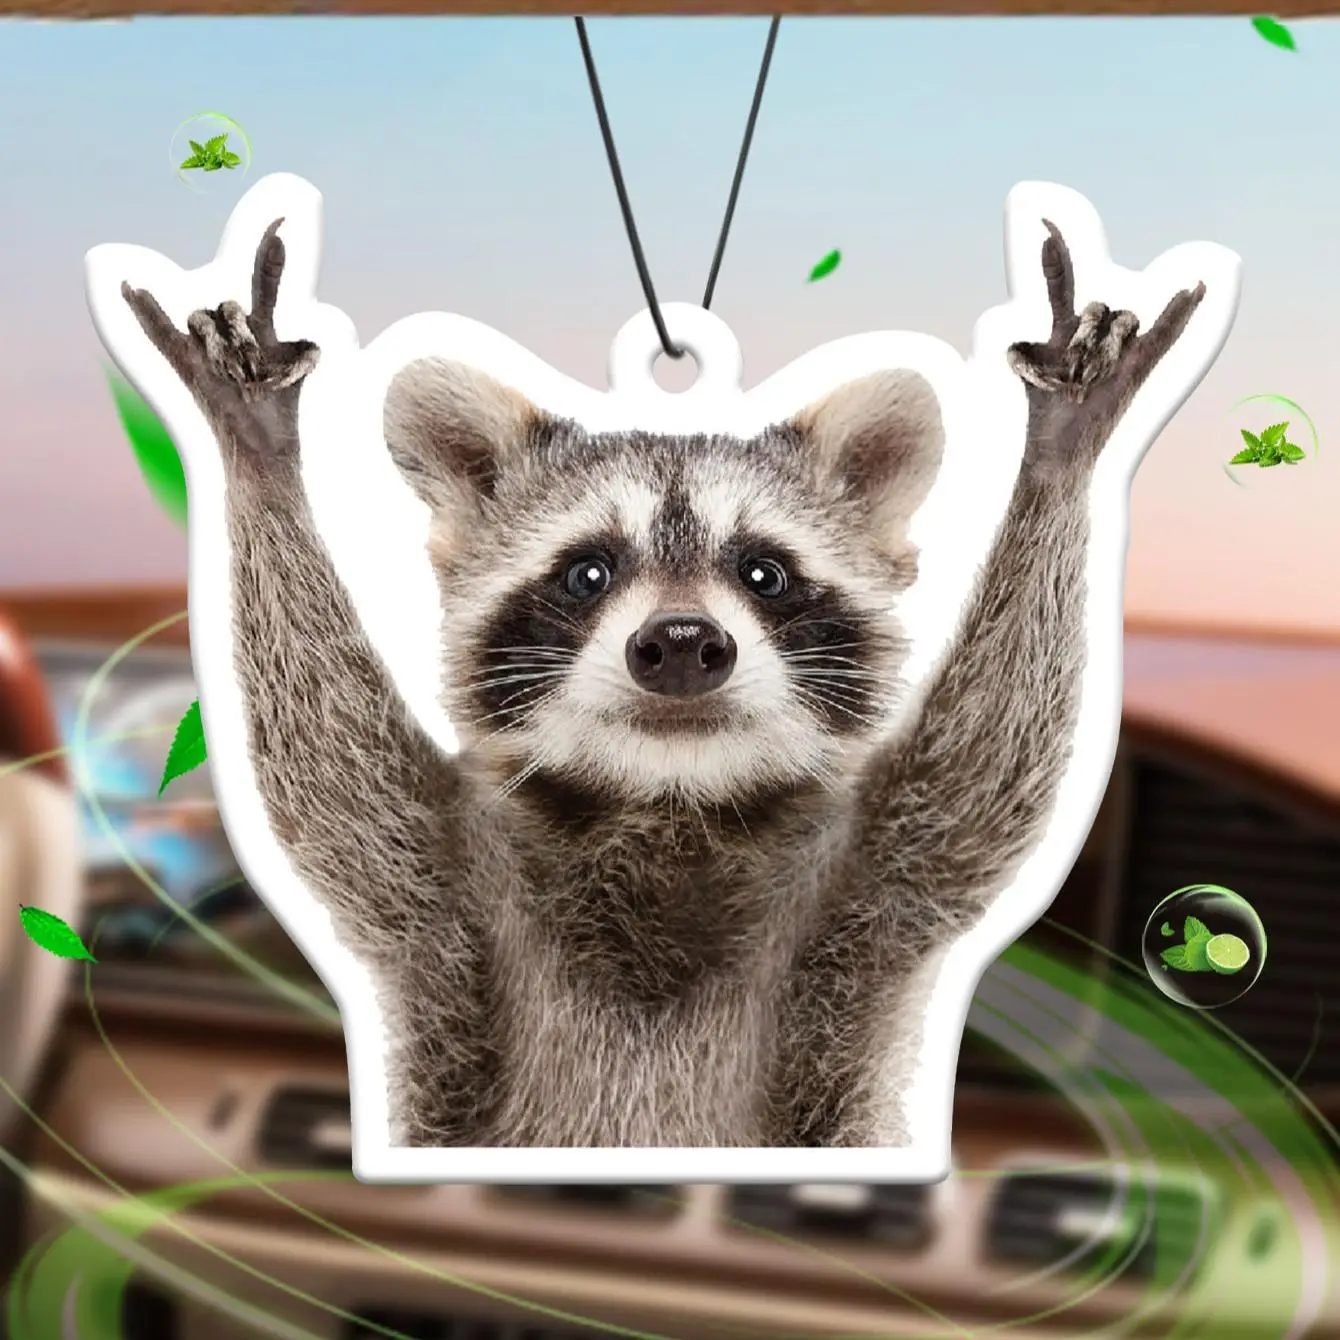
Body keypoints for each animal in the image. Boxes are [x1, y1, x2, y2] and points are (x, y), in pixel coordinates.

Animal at [121, 219, 1204, 1147]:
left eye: (762, 573)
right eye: (587, 572)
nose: (682, 642)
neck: (668, 798)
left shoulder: (870, 891)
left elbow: (985, 769)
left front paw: (1060, 452)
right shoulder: (446, 891)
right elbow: (330, 771)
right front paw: (259, 453)